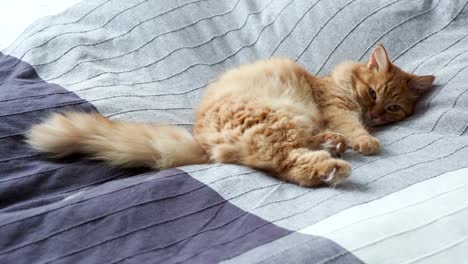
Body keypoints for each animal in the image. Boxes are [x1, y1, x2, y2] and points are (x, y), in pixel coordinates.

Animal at [25, 44, 436, 187]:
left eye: (393, 107)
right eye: (372, 94)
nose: (375, 114)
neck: (337, 81)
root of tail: (204, 144)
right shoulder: (337, 108)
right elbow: (352, 127)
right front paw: (367, 141)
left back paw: (332, 149)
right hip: (279, 121)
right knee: (290, 164)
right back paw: (333, 165)